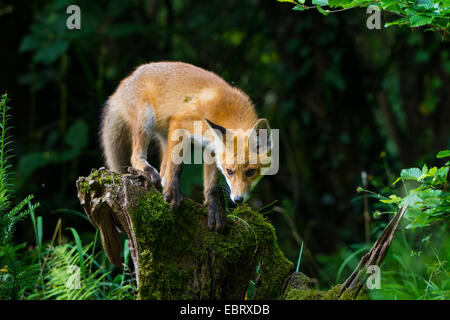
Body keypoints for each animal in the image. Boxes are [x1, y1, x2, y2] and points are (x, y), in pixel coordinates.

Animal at [101, 60, 270, 230]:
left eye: (251, 172)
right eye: (230, 172)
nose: (238, 199)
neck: (227, 111)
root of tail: (125, 81)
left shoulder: (212, 148)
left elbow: (211, 184)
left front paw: (213, 207)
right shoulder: (180, 122)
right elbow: (177, 166)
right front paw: (173, 191)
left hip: (164, 136)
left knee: (163, 169)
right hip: (146, 121)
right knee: (136, 157)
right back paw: (147, 170)